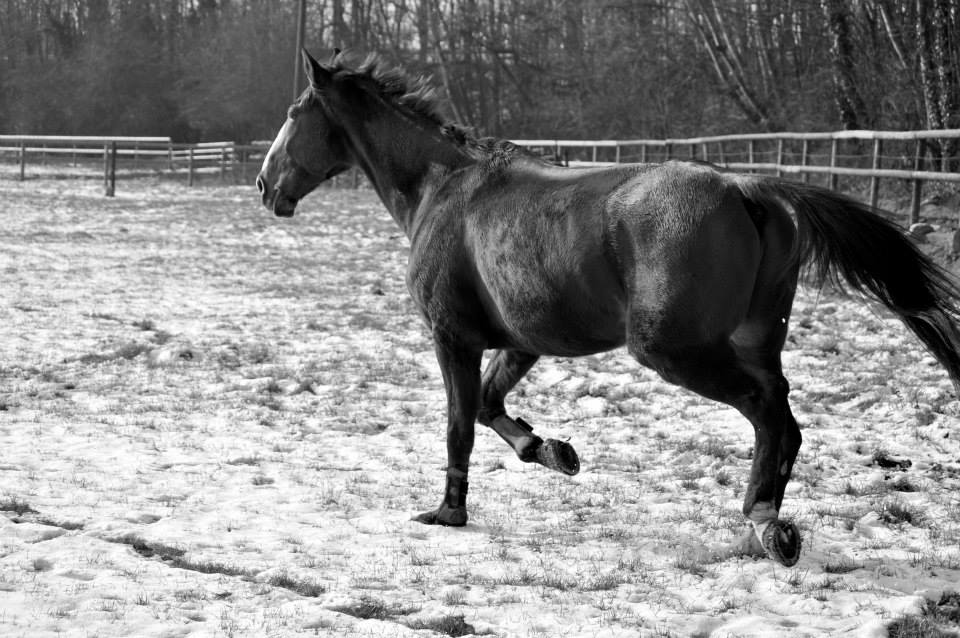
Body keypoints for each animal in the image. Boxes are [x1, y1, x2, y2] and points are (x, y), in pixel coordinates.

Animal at [255, 52, 960, 568]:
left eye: (295, 111)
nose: (265, 187)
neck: (442, 188)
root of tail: (746, 187)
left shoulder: (453, 337)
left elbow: (459, 422)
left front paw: (449, 512)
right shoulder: (521, 339)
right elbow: (489, 408)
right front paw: (551, 451)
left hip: (675, 351)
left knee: (768, 412)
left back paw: (763, 521)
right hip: (755, 340)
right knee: (782, 416)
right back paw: (764, 525)